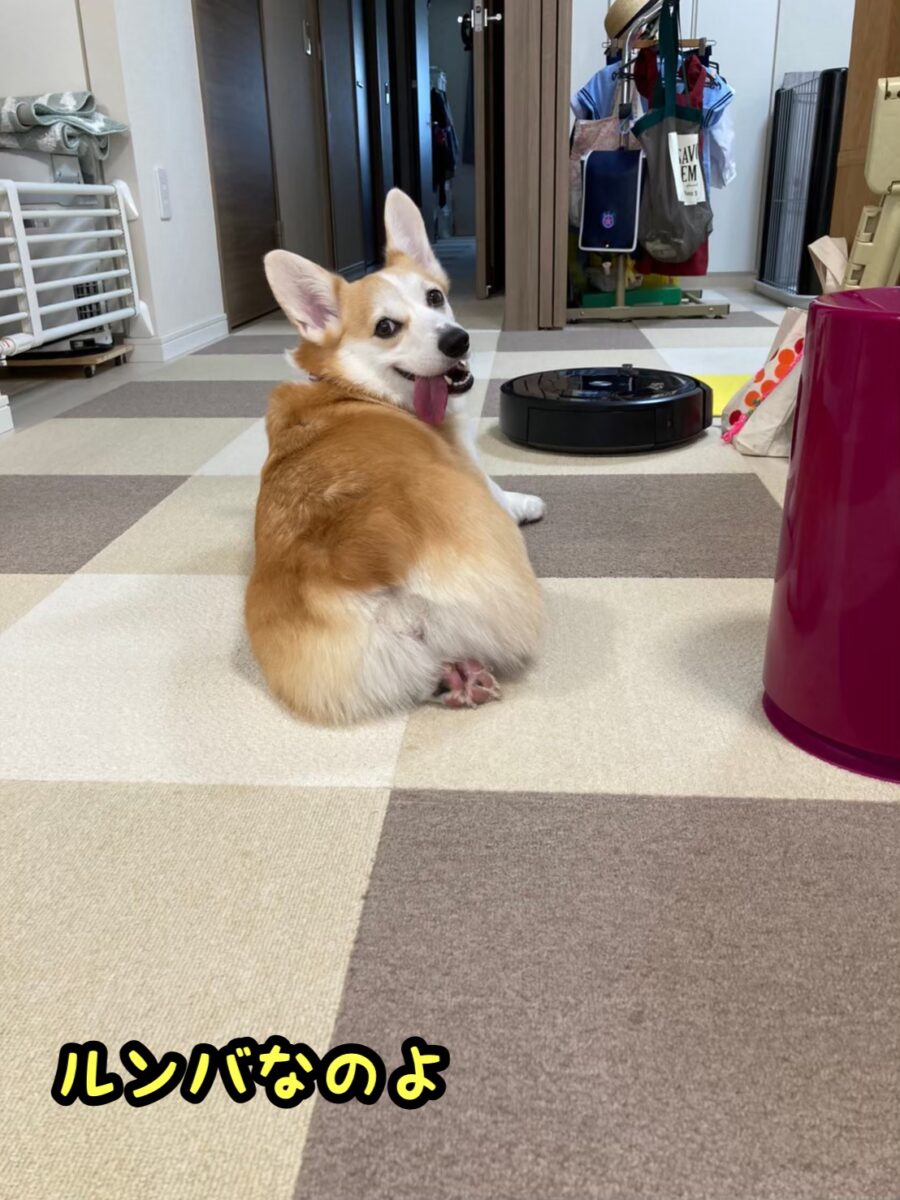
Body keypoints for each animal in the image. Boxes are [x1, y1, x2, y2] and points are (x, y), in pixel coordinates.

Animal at [245, 189, 544, 725]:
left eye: (435, 297)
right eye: (386, 327)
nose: (457, 339)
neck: (352, 386)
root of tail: (364, 563)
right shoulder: (464, 456)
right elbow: (497, 487)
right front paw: (526, 503)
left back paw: (458, 680)